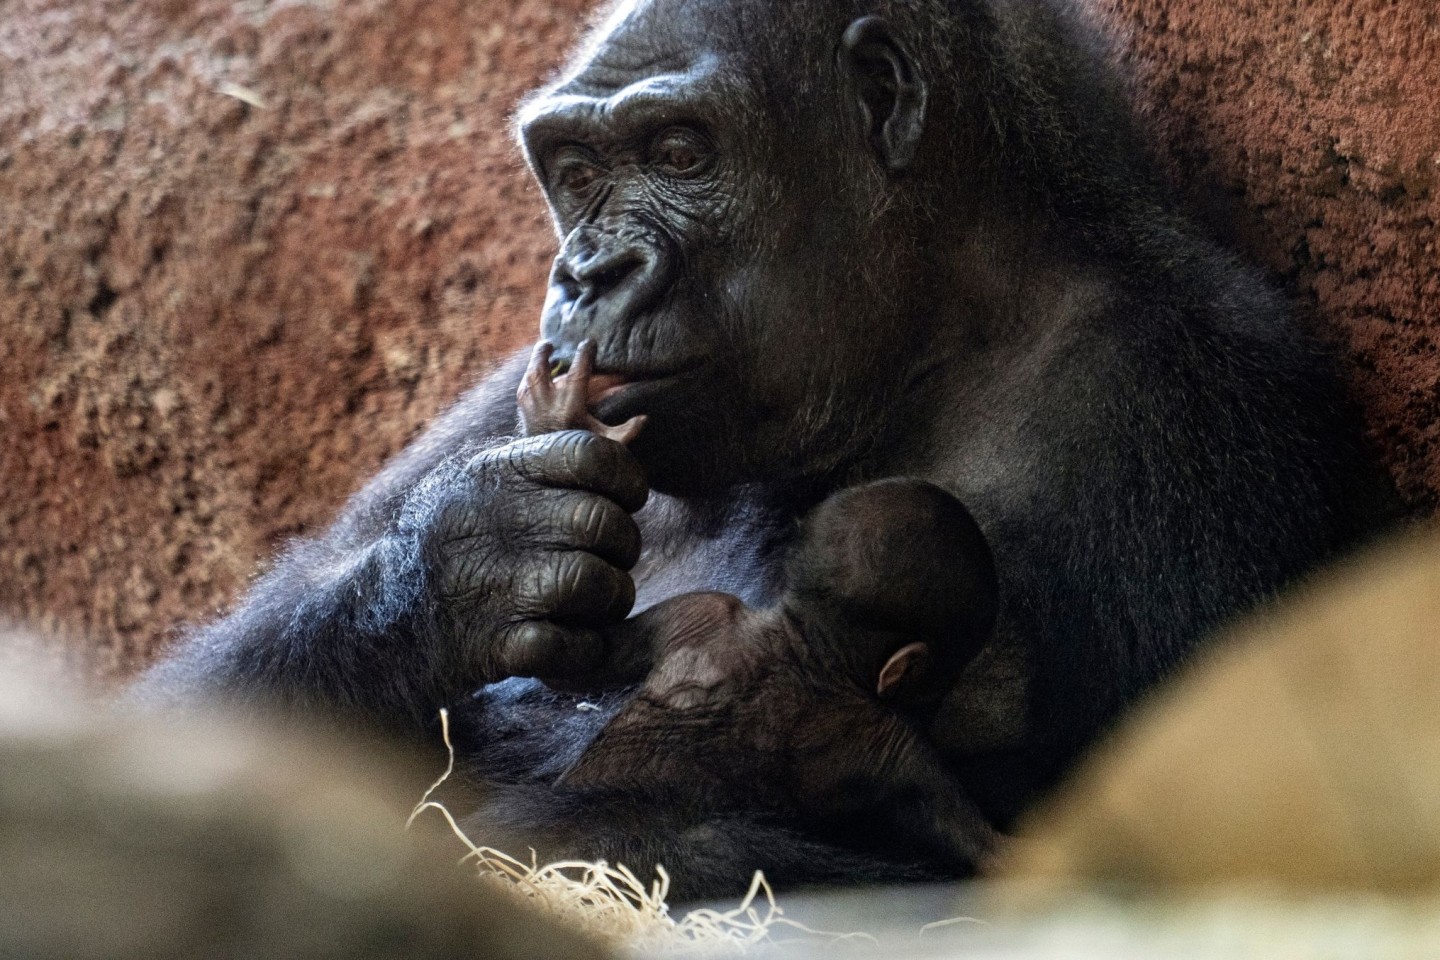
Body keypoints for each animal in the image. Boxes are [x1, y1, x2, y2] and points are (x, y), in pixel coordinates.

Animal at [518, 341, 1002, 869]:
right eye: (946, 669)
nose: (938, 694)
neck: (802, 642)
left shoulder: (702, 612)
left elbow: (575, 657)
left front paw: (557, 428)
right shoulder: (893, 743)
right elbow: (982, 844)